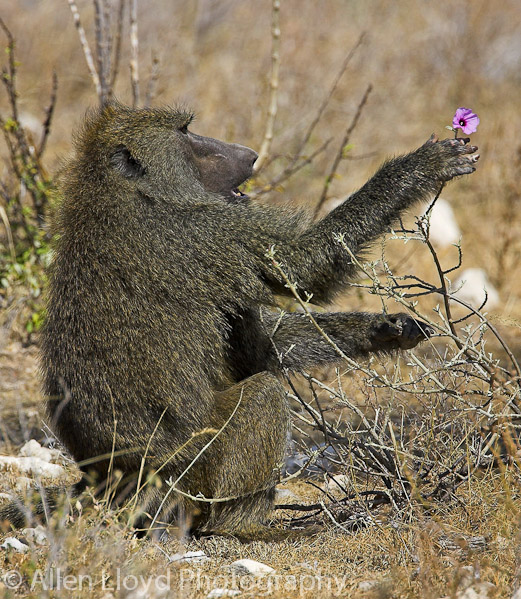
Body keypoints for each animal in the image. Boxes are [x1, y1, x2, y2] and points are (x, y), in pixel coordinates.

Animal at [0, 102, 478, 539]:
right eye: (185, 132)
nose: (249, 155)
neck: (127, 189)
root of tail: (108, 477)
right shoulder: (207, 232)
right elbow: (302, 267)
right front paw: (422, 165)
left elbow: (263, 346)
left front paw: (388, 330)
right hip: (190, 469)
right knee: (264, 395)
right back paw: (243, 527)